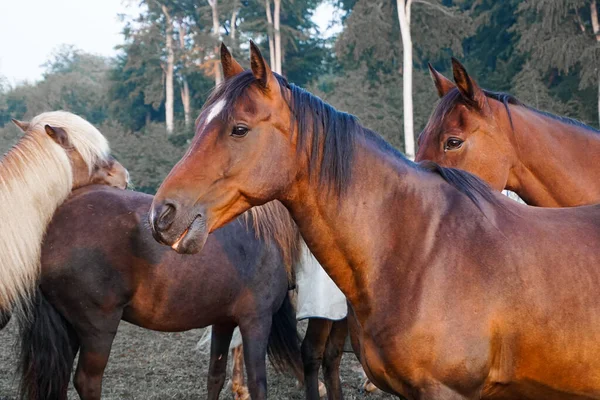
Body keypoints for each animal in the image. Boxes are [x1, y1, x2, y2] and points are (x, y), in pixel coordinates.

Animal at [17, 185, 304, 400]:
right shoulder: (256, 321)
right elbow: (258, 384)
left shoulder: (223, 322)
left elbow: (215, 375)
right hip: (97, 329)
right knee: (87, 382)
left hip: (69, 327)